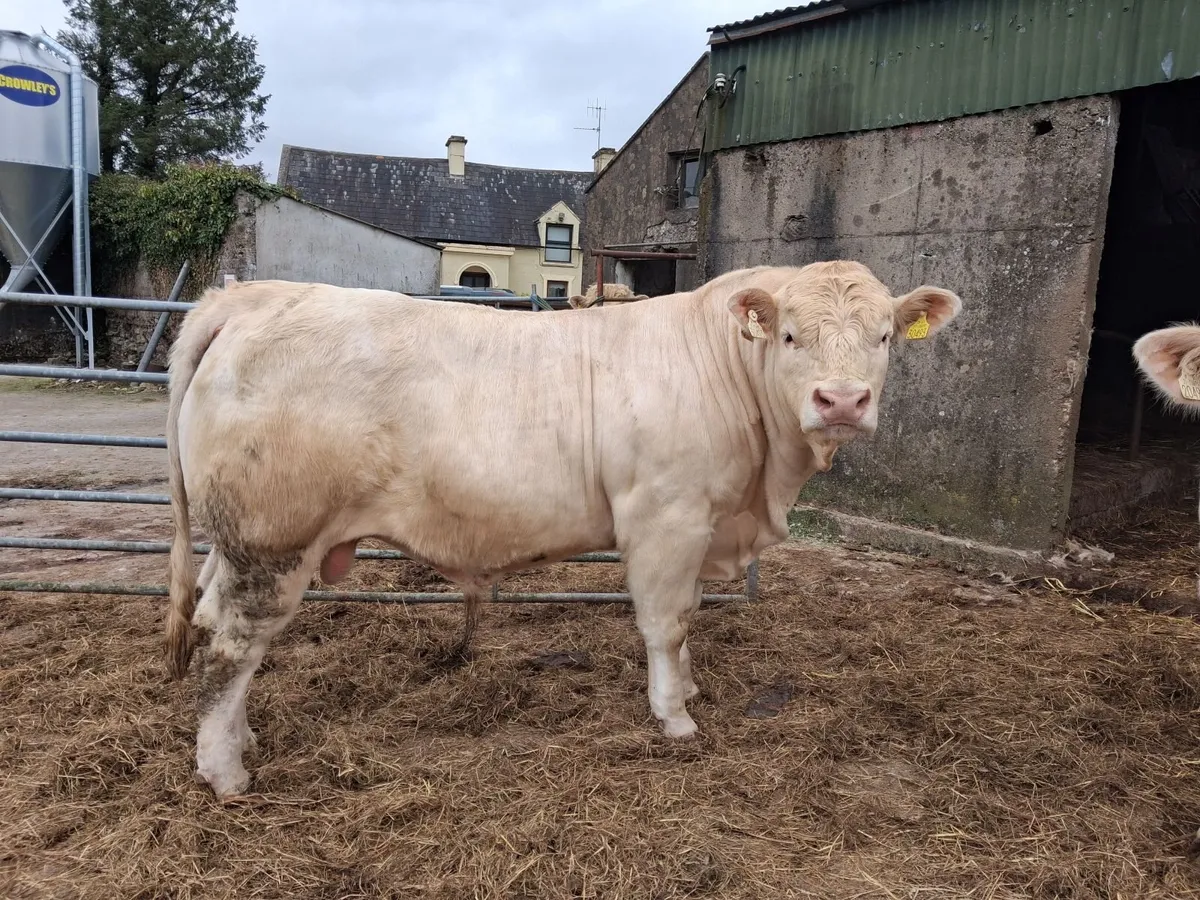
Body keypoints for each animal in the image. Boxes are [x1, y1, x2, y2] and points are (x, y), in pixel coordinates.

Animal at [164, 261, 962, 798]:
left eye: (884, 336)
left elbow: (690, 617)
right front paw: (675, 718)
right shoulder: (665, 517)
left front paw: (690, 688)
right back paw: (225, 772)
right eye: (791, 336)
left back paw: (240, 739)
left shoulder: (701, 524)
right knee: (231, 646)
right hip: (272, 539)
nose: (842, 400)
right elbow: (666, 623)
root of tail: (254, 297)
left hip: (236, 544)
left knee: (213, 626)